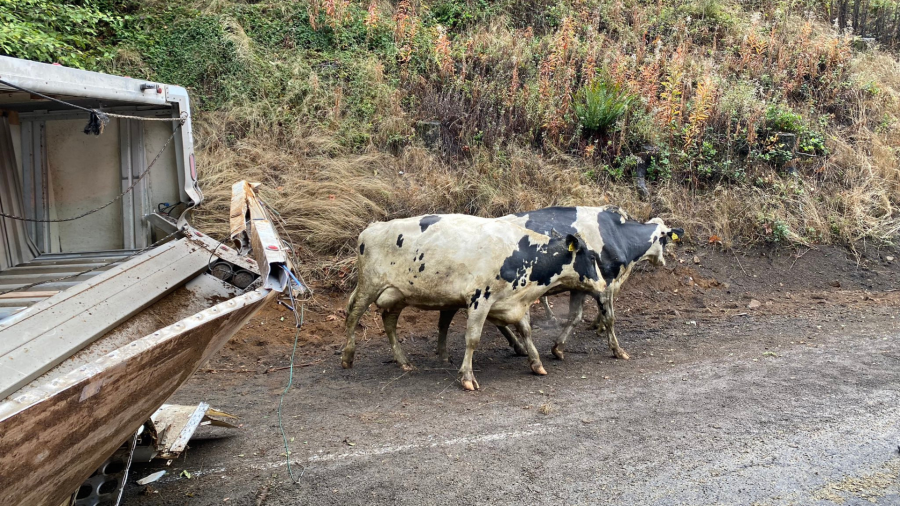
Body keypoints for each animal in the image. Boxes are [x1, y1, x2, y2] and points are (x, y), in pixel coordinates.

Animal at [342, 213, 608, 392]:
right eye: (592, 257)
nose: (605, 285)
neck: (521, 253)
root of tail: (373, 227)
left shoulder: (516, 301)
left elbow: (526, 332)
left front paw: (536, 363)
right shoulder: (480, 298)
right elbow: (472, 339)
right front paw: (467, 377)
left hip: (398, 294)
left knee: (389, 321)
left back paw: (403, 361)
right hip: (369, 285)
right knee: (353, 314)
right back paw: (347, 356)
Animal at [436, 208, 684, 362]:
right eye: (664, 240)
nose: (663, 261)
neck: (616, 236)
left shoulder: (582, 286)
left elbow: (575, 317)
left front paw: (558, 348)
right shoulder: (605, 284)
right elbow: (609, 318)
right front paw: (617, 349)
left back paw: (519, 346)